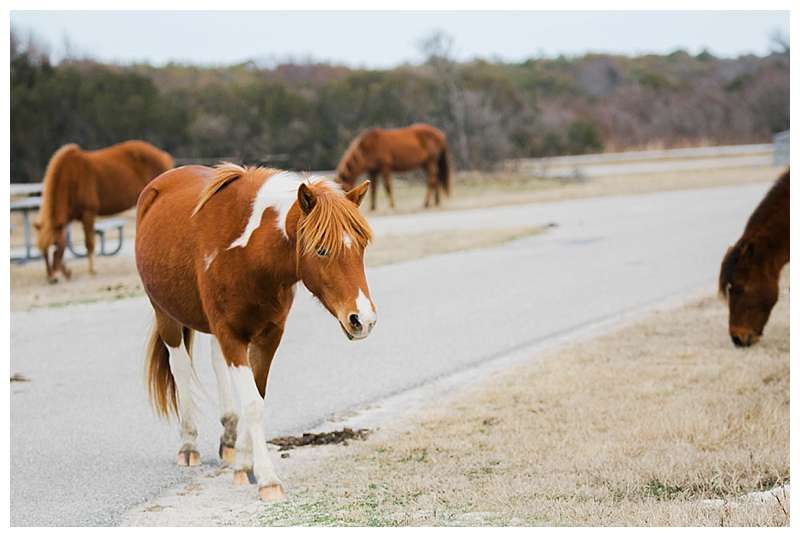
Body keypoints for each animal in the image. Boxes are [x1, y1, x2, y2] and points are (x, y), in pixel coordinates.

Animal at [34, 139, 173, 280]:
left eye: (55, 246)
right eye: (42, 251)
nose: (52, 279)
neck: (72, 177)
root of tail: (161, 154)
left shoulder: (88, 213)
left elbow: (89, 243)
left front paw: (92, 270)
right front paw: (67, 272)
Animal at [134, 164, 376, 502]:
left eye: (362, 246)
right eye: (322, 250)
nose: (362, 319)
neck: (250, 254)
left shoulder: (267, 337)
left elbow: (256, 395)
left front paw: (244, 465)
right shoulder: (232, 335)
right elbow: (252, 404)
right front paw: (267, 479)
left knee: (216, 364)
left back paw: (228, 438)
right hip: (165, 314)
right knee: (180, 369)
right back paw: (188, 445)